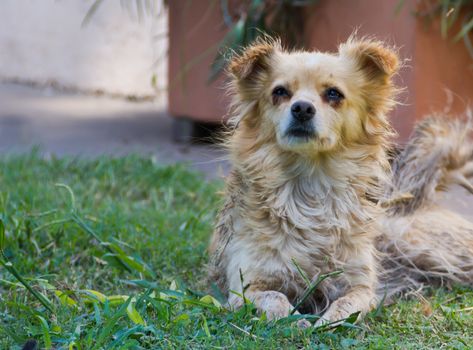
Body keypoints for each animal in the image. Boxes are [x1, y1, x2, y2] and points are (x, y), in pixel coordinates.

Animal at [208, 35, 472, 326]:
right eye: (280, 92)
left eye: (334, 94)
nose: (302, 108)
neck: (310, 186)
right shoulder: (246, 287)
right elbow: (274, 298)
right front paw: (294, 320)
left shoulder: (361, 286)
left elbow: (349, 302)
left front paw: (330, 320)